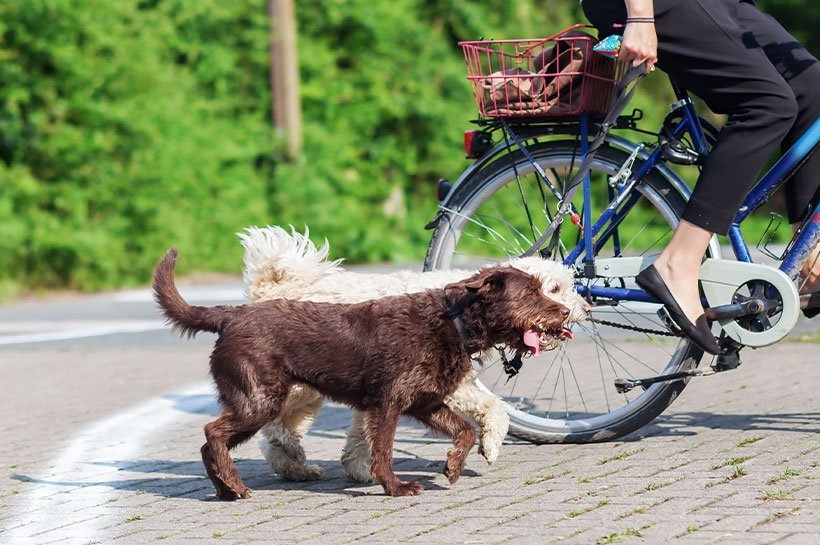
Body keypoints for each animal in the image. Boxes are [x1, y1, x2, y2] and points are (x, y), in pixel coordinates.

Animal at [154, 249, 572, 500]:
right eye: (533, 293)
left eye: (544, 288)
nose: (567, 312)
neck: (452, 323)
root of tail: (230, 315)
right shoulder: (386, 405)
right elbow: (382, 451)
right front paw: (395, 487)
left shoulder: (426, 403)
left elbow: (466, 431)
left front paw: (453, 466)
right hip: (259, 400)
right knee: (213, 433)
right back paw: (236, 485)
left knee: (209, 442)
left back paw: (225, 488)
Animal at [239, 225, 588, 480]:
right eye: (553, 289)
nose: (585, 308)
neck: (461, 309)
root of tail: (279, 286)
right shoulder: (443, 386)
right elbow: (496, 408)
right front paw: (489, 446)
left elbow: (361, 435)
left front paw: (359, 469)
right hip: (299, 386)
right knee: (274, 426)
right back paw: (291, 452)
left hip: (309, 391)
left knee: (277, 435)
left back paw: (296, 467)